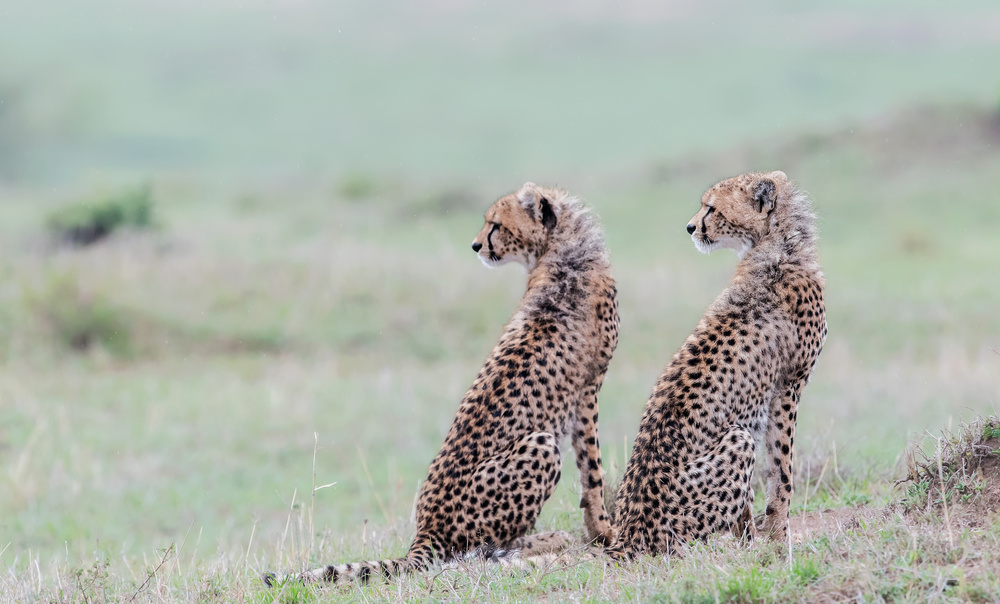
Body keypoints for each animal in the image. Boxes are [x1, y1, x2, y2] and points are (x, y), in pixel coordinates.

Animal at [268, 182, 619, 586]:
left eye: (495, 225)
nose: (475, 245)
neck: (562, 250)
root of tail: (425, 531)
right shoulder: (589, 390)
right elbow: (593, 470)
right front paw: (604, 532)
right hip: (540, 445)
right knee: (479, 550)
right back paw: (552, 539)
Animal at [605, 170, 827, 559]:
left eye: (711, 207)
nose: (690, 227)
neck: (776, 246)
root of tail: (627, 534)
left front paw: (762, 541)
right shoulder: (789, 386)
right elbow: (782, 470)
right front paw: (779, 539)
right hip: (739, 439)